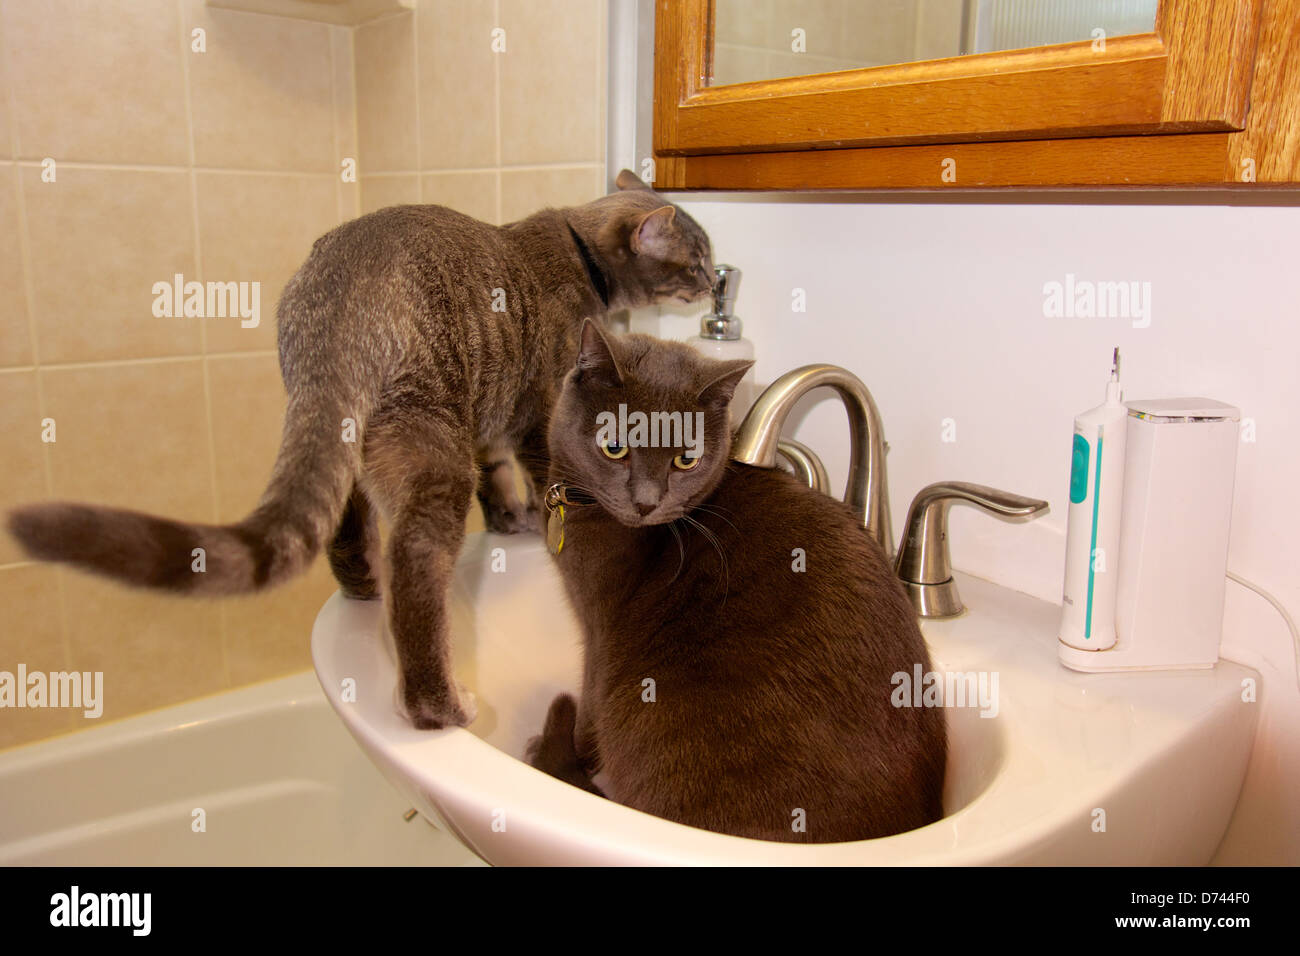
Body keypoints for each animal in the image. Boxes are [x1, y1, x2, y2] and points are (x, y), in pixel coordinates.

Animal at [5, 171, 717, 728]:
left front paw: (508, 521)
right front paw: (542, 520)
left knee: (346, 531)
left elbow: (495, 479)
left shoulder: (488, 425)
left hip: (367, 449)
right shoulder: (536, 408)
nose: (715, 283)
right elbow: (542, 472)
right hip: (428, 444)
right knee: (417, 562)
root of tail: (338, 295)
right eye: (698, 259)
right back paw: (438, 704)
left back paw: (364, 588)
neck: (578, 253)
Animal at [527, 323, 946, 842]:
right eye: (615, 447)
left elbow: (590, 694)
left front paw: (578, 754)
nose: (647, 502)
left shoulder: (599, 628)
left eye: (686, 460)